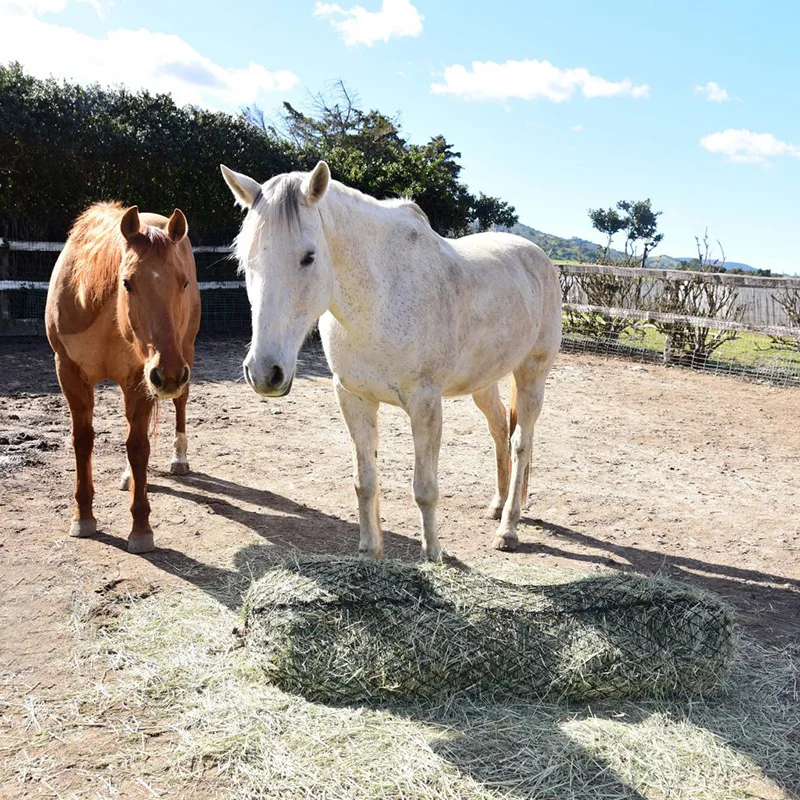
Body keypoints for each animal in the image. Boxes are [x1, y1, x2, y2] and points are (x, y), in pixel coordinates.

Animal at [45, 202, 202, 552]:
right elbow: (83, 440)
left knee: (180, 405)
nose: (169, 373)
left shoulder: (139, 379)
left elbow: (139, 447)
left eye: (183, 283)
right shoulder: (69, 372)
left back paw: (179, 459)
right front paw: (83, 517)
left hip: (183, 352)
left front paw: (141, 530)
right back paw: (130, 477)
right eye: (127, 282)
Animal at [220, 159, 564, 560]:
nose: (264, 373)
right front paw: (370, 550)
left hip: (532, 374)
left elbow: (425, 488)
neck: (380, 300)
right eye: (245, 260)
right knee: (499, 429)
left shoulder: (425, 404)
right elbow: (365, 480)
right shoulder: (353, 398)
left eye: (309, 256)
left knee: (522, 442)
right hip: (484, 381)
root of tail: (538, 257)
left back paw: (508, 528)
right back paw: (497, 504)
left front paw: (433, 555)